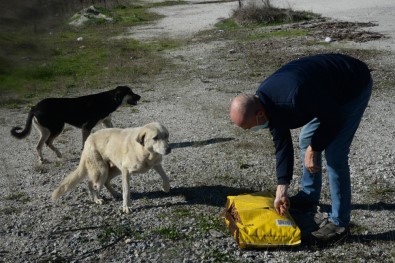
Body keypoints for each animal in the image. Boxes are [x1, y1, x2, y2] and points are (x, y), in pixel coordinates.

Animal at [10, 85, 142, 164]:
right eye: (130, 92)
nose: (140, 96)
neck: (109, 100)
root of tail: (35, 107)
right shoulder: (86, 127)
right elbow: (84, 144)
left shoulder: (106, 122)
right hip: (57, 127)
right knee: (47, 142)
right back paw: (57, 154)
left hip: (46, 130)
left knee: (39, 145)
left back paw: (43, 159)